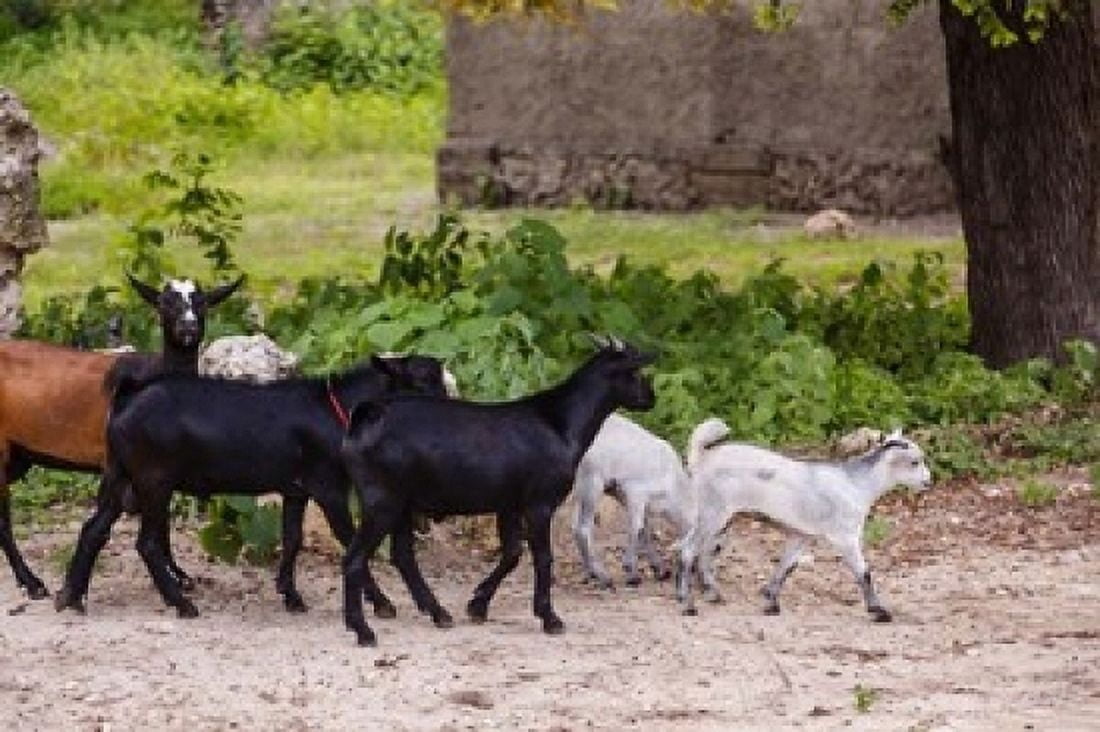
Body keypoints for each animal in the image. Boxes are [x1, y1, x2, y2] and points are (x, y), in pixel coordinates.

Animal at [0, 274, 241, 598]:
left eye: (202, 303)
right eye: (164, 303)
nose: (188, 328)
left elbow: (162, 521)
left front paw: (178, 574)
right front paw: (175, 577)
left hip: (18, 453)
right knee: (3, 521)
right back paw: (32, 582)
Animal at [55, 355, 450, 618]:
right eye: (425, 381)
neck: (336, 411)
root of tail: (129, 394)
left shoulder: (296, 490)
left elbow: (292, 539)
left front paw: (291, 595)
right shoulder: (329, 488)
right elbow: (348, 539)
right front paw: (382, 603)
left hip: (120, 477)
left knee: (93, 530)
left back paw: (71, 596)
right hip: (154, 481)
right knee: (147, 544)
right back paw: (181, 603)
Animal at [339, 338, 656, 646]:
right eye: (634, 371)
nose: (651, 398)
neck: (559, 422)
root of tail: (367, 417)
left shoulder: (509, 504)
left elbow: (512, 553)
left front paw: (478, 604)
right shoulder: (539, 503)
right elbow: (542, 557)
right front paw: (549, 617)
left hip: (402, 503)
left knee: (402, 556)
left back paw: (438, 613)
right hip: (381, 501)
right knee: (354, 560)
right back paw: (363, 630)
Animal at [572, 413, 693, 588]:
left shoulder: (626, 497)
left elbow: (644, 530)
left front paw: (659, 569)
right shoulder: (635, 493)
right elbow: (636, 527)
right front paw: (632, 571)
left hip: (579, 489)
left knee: (575, 527)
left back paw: (590, 572)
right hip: (592, 483)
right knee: (583, 529)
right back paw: (603, 576)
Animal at [676, 420, 932, 620]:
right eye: (914, 462)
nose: (928, 481)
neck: (856, 483)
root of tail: (703, 457)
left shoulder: (801, 535)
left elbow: (786, 567)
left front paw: (771, 602)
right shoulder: (846, 537)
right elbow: (864, 572)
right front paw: (879, 611)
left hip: (720, 520)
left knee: (704, 552)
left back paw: (710, 593)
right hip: (713, 513)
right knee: (688, 550)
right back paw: (687, 604)